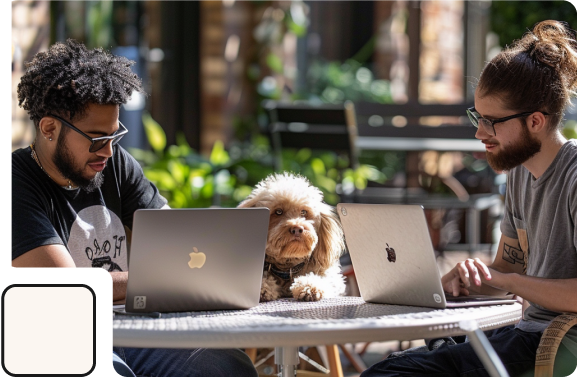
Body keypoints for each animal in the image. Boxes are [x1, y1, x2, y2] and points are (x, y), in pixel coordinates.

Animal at [236, 172, 344, 302]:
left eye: (303, 212)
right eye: (278, 212)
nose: (297, 229)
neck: (288, 269)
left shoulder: (332, 280)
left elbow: (324, 281)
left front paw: (309, 286)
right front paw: (262, 288)